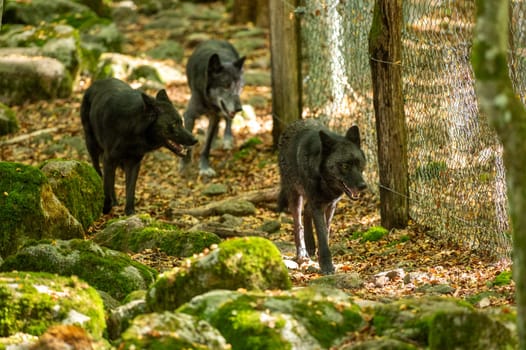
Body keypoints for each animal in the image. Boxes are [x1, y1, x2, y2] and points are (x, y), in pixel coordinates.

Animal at [80, 78, 198, 216]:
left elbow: (130, 190)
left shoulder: (134, 163)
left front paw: (130, 213)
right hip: (92, 146)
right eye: (174, 124)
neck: (132, 129)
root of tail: (95, 83)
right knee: (98, 171)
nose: (195, 140)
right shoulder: (109, 159)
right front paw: (105, 208)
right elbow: (107, 185)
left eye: (181, 122)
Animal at [180, 40, 246, 178]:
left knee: (227, 119)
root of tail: (216, 40)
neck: (209, 101)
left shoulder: (215, 115)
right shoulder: (189, 115)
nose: (239, 109)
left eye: (240, 86)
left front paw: (204, 167)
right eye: (226, 86)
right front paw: (185, 166)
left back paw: (227, 139)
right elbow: (187, 144)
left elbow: (207, 146)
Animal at [280, 119, 368, 274]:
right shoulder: (317, 204)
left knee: (307, 211)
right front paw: (326, 265)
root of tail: (293, 124)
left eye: (358, 163)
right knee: (298, 224)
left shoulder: (331, 204)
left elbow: (325, 233)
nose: (363, 186)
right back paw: (302, 253)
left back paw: (310, 245)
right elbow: (321, 234)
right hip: (295, 195)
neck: (324, 179)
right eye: (344, 165)